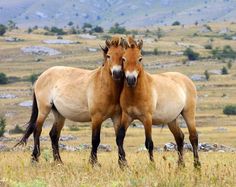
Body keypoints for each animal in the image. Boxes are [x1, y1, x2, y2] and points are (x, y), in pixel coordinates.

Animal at [15, 36, 124, 165]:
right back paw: (34, 159)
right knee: (37, 130)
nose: (117, 73)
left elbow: (119, 139)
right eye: (108, 56)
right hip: (44, 109)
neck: (104, 86)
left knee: (53, 134)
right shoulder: (96, 118)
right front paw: (93, 163)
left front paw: (123, 163)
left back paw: (58, 161)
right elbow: (95, 140)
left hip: (59, 113)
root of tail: (40, 77)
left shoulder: (116, 117)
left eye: (123, 57)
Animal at [116, 36, 201, 168]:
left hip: (188, 113)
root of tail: (186, 79)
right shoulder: (127, 116)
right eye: (123, 58)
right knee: (179, 137)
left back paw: (197, 165)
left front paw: (152, 165)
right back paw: (180, 165)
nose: (131, 79)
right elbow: (120, 138)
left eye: (140, 58)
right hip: (172, 119)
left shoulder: (147, 119)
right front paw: (122, 164)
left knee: (193, 137)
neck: (136, 94)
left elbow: (149, 143)